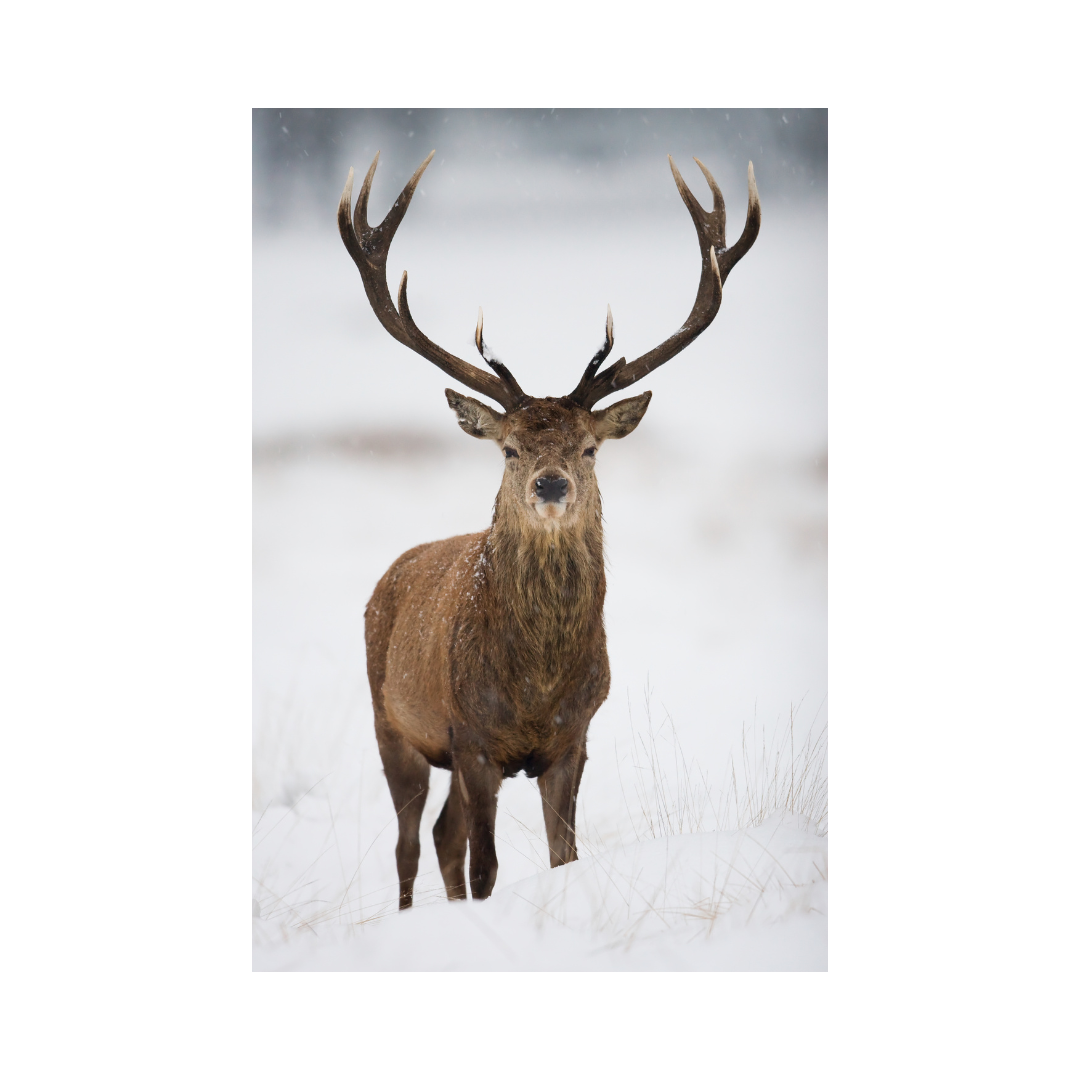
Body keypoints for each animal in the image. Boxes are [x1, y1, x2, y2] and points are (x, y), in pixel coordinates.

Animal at [338, 150, 760, 908]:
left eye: (588, 448)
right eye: (510, 450)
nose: (552, 484)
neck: (534, 688)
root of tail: (390, 575)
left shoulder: (573, 739)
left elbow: (565, 856)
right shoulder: (473, 737)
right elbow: (486, 869)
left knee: (440, 835)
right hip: (392, 723)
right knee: (410, 842)